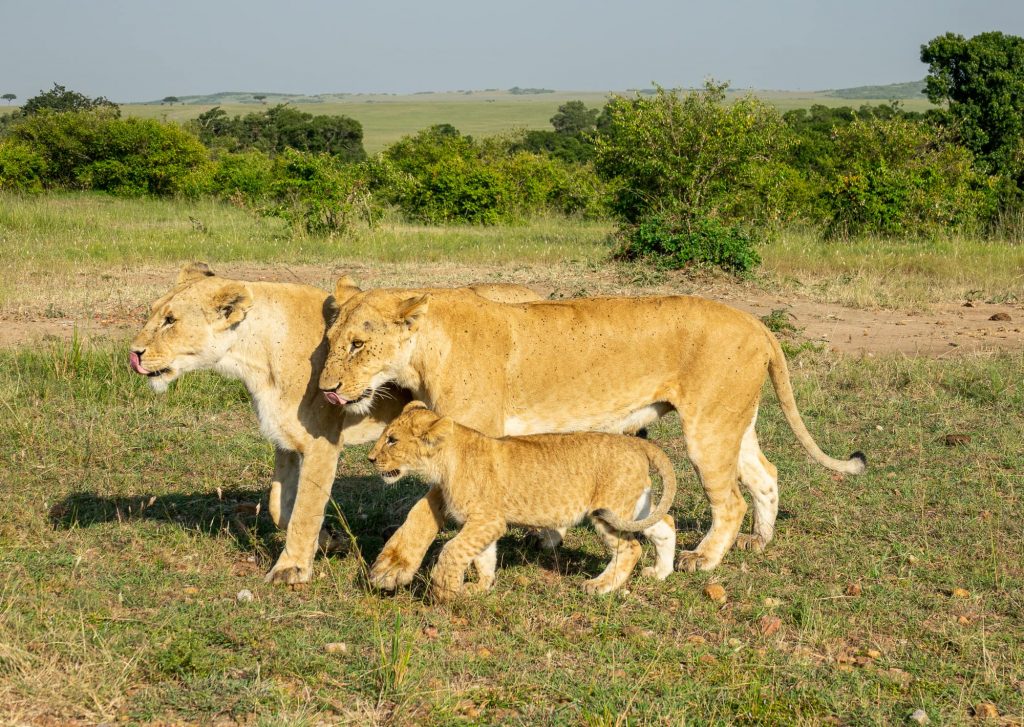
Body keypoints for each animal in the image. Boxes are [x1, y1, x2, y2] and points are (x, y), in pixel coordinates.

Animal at [130, 264, 544, 585]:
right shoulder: (285, 441)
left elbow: (305, 508)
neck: (252, 356)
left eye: (170, 321)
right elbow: (281, 507)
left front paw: (291, 570)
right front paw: (328, 542)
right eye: (153, 314)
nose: (133, 353)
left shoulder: (322, 443)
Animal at [368, 401, 679, 602]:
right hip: (635, 507)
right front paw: (480, 587)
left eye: (392, 440)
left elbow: (452, 550)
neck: (446, 460)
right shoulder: (485, 524)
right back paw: (660, 573)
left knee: (630, 548)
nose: (370, 458)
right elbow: (483, 557)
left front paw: (445, 592)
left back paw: (600, 586)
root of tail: (635, 442)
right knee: (666, 524)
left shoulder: (487, 519)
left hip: (607, 511)